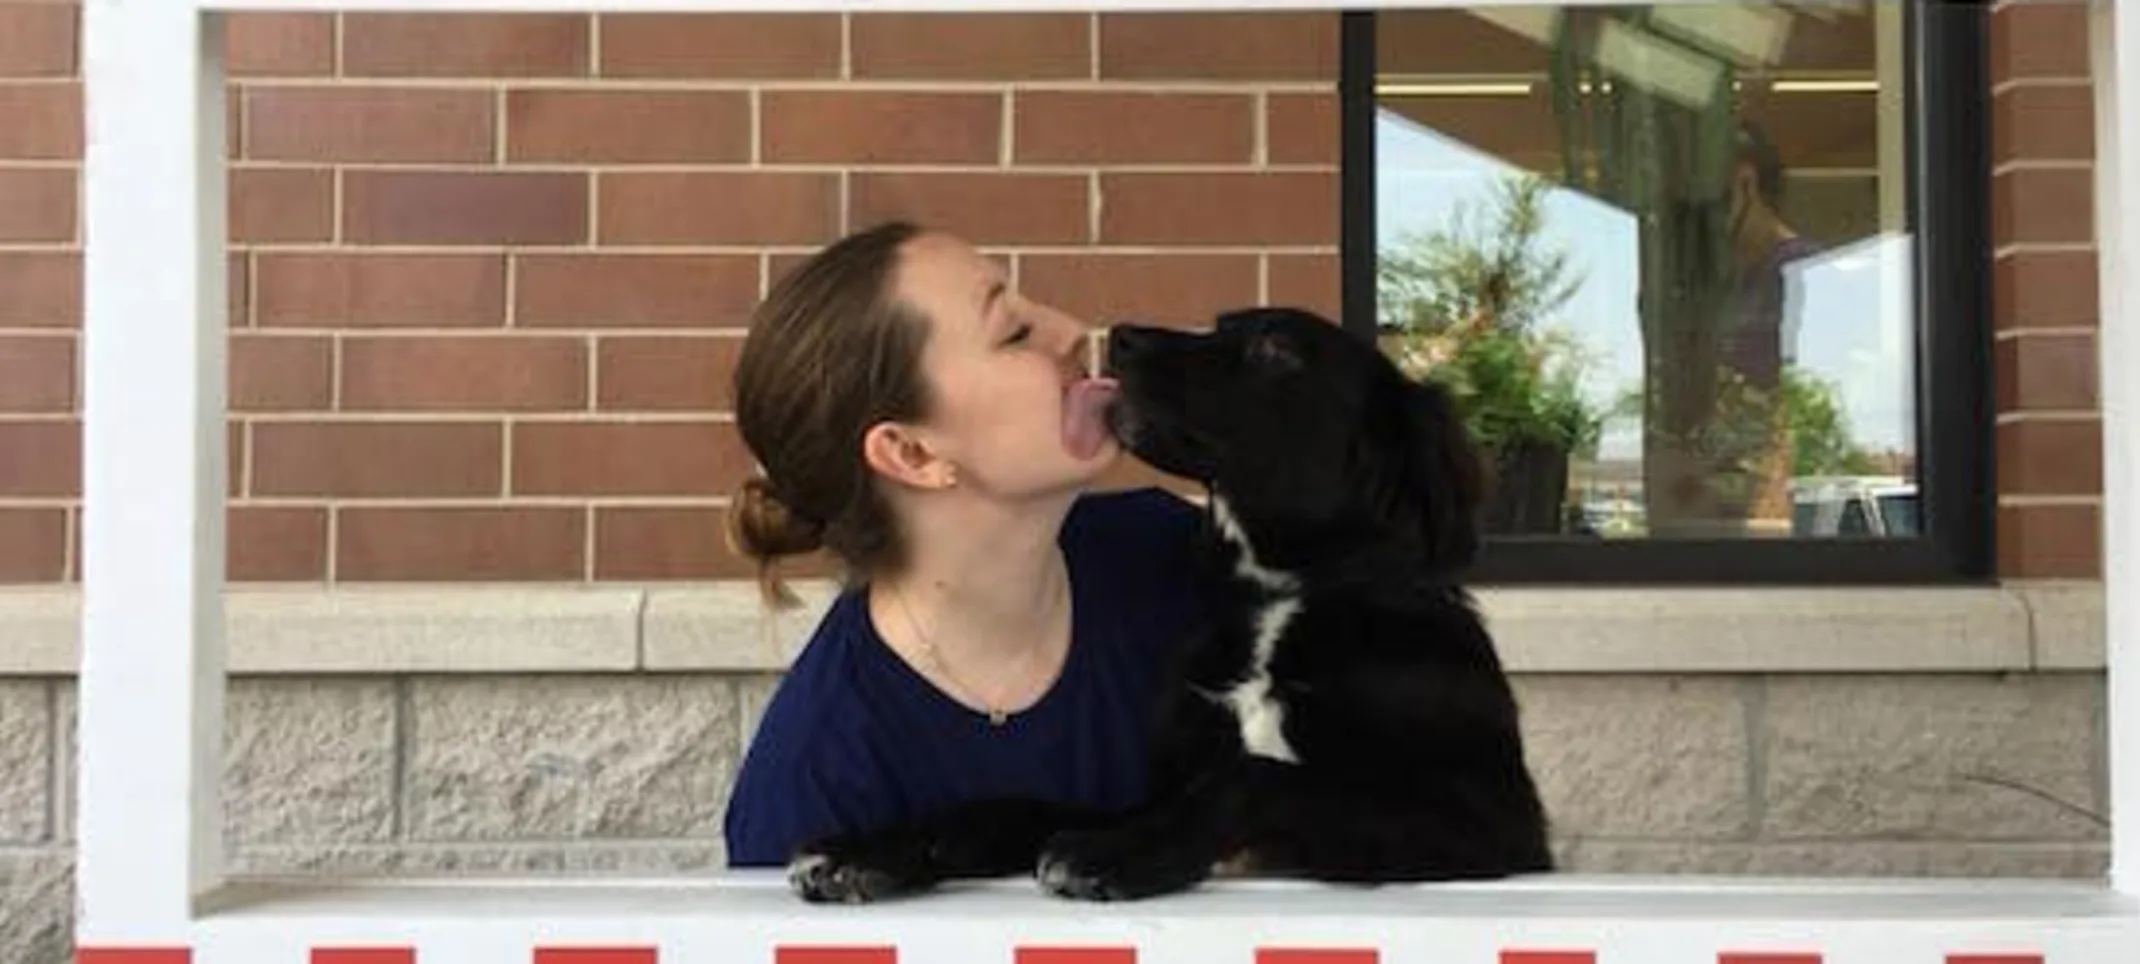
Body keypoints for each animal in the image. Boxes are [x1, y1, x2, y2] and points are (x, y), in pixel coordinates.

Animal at [796, 308, 1549, 904]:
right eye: (1220, 324)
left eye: (1277, 349)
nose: (1122, 337)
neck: (1284, 597)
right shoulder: (1149, 793)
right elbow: (1005, 805)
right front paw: (867, 849)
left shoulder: (1493, 821)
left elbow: (1254, 775)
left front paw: (1121, 854)